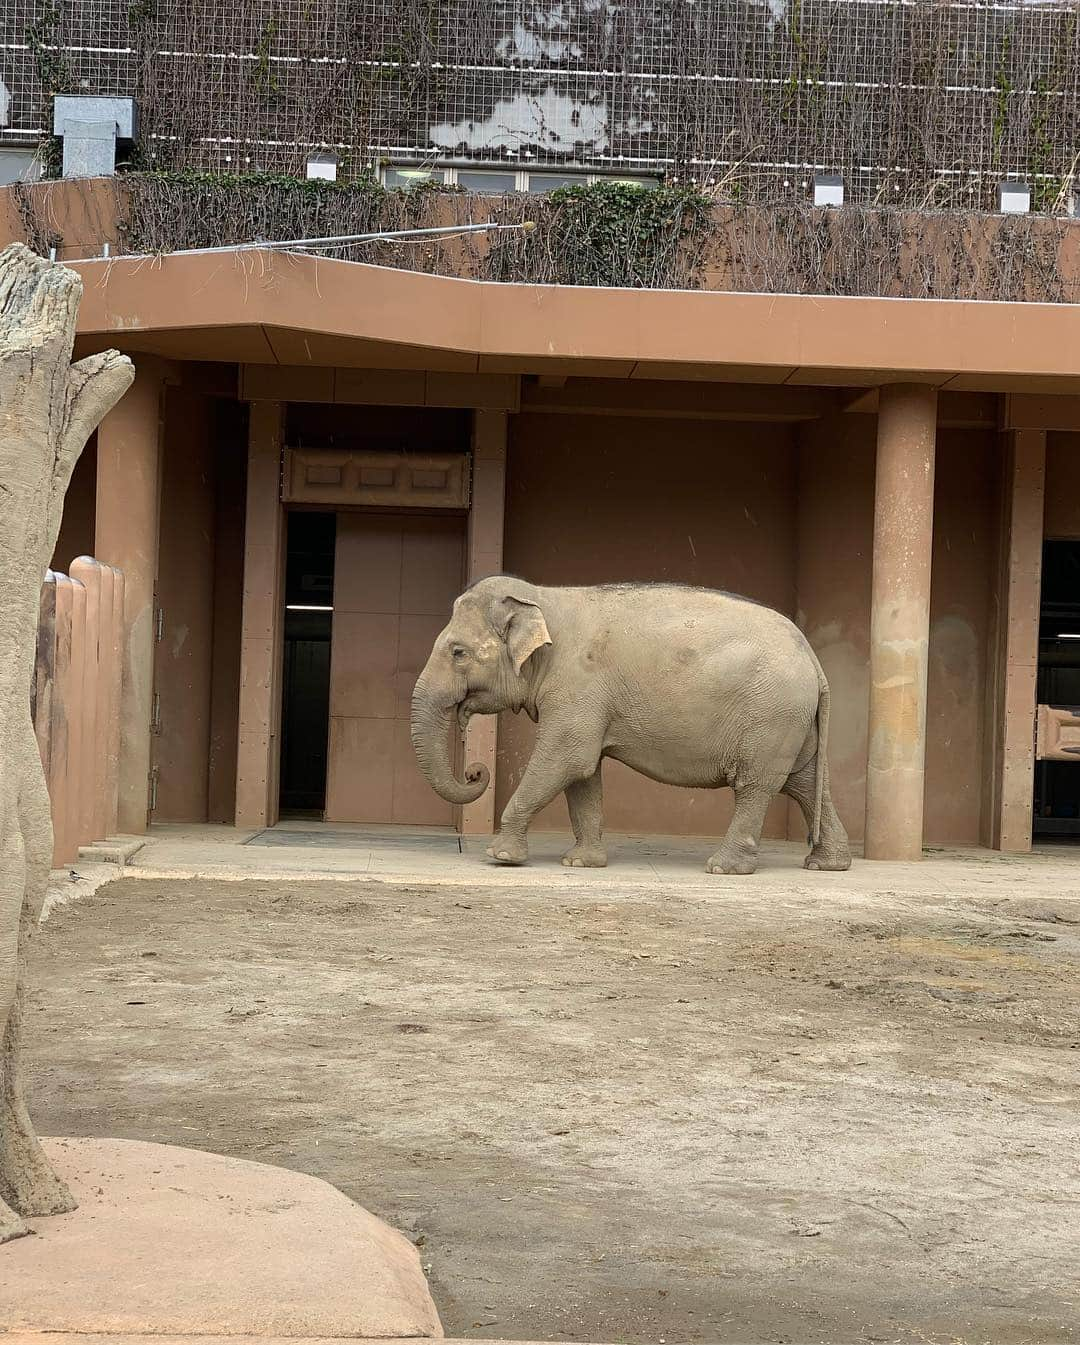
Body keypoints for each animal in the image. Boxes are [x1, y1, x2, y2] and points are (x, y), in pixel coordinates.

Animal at [414, 575, 855, 871]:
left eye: (458, 652)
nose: (475, 770)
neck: (542, 597)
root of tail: (811, 656)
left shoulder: (579, 686)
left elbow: (567, 758)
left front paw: (501, 856)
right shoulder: (585, 699)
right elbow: (583, 773)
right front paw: (581, 863)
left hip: (771, 715)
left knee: (756, 785)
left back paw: (723, 867)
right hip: (792, 720)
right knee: (803, 781)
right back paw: (826, 864)